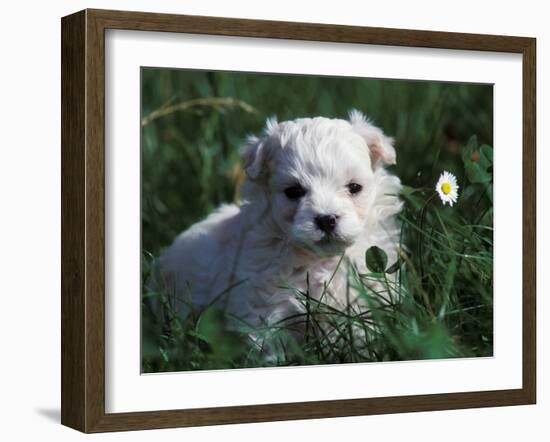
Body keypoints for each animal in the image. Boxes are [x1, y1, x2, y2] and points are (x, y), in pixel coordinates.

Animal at [157, 111, 404, 338]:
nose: (326, 219)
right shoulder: (263, 309)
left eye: (354, 187)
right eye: (294, 191)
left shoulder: (362, 301)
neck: (318, 261)